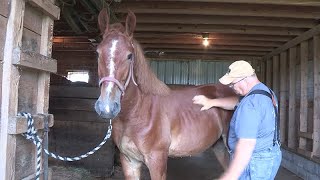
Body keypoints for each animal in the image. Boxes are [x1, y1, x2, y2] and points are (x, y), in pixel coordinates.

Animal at [94, 8, 235, 180]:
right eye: (98, 53)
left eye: (129, 56)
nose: (106, 107)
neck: (138, 111)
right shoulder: (129, 161)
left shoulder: (157, 161)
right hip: (220, 148)